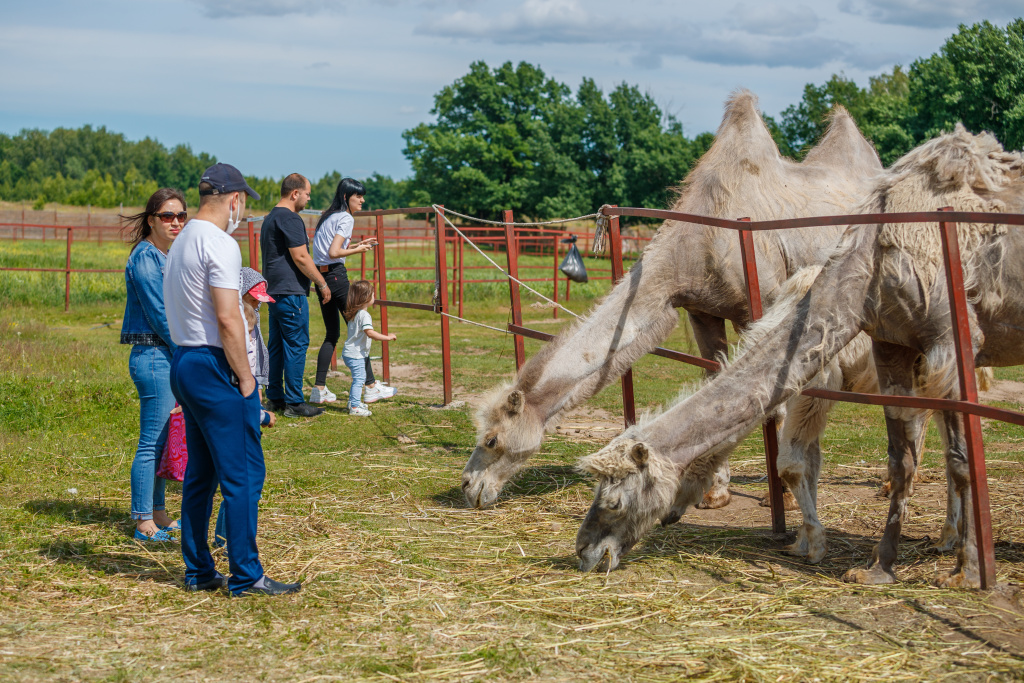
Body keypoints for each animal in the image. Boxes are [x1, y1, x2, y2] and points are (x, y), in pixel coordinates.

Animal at [462, 89, 880, 507]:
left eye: (492, 439)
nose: (468, 486)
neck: (699, 244)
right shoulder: (702, 310)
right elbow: (716, 378)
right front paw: (714, 491)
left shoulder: (762, 304)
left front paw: (784, 499)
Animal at [577, 124, 1024, 589]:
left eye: (613, 500)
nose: (585, 550)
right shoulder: (887, 347)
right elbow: (820, 461)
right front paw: (861, 562)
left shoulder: (917, 352)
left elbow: (794, 462)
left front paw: (965, 573)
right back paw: (946, 536)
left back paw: (958, 548)